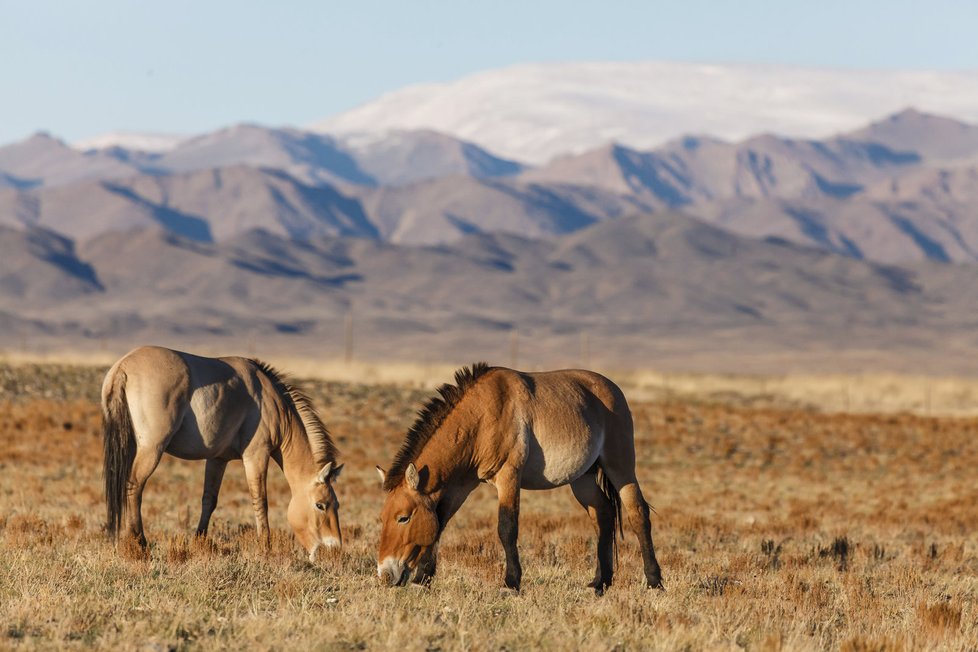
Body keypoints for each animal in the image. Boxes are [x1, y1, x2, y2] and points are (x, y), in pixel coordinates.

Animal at [102, 346, 344, 560]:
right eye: (320, 505)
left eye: (337, 505)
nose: (333, 549)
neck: (270, 399)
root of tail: (123, 367)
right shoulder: (256, 455)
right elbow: (260, 499)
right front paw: (265, 547)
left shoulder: (217, 459)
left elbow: (209, 500)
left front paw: (199, 542)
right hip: (152, 449)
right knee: (134, 485)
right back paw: (139, 543)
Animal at [374, 362, 664, 596]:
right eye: (382, 518)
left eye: (403, 518)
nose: (385, 575)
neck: (482, 414)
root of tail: (613, 389)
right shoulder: (461, 486)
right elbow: (439, 524)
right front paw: (422, 579)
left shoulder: (508, 476)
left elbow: (507, 528)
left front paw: (510, 584)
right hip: (583, 478)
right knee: (602, 515)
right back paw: (600, 583)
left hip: (620, 467)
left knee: (638, 514)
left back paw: (654, 582)